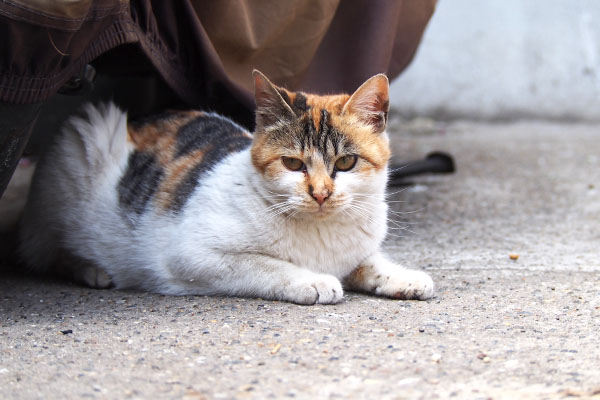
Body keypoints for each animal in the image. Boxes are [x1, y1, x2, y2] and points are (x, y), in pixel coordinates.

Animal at [17, 71, 432, 304]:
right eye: (293, 164)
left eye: (346, 163)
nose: (320, 193)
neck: (323, 232)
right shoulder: (192, 255)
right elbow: (266, 265)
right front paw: (311, 280)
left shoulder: (358, 248)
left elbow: (371, 261)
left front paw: (402, 276)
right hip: (85, 133)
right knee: (41, 250)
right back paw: (91, 269)